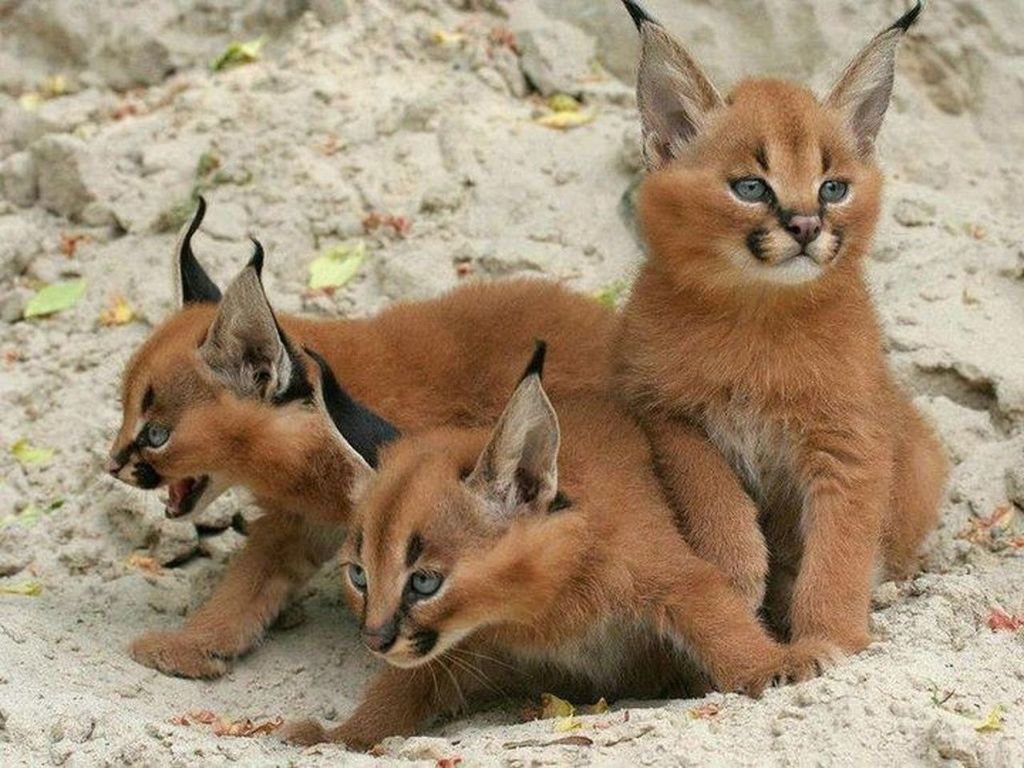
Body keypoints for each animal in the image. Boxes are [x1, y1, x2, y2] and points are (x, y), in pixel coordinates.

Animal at [109, 199, 614, 679]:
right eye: (123, 410)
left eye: (156, 434)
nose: (112, 464)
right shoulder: (300, 521)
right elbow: (248, 582)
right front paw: (192, 645)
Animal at [610, 0, 946, 651]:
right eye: (750, 187)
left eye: (833, 188)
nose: (807, 225)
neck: (758, 314)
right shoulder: (663, 411)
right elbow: (709, 487)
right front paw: (735, 574)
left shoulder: (851, 439)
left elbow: (840, 546)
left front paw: (829, 640)